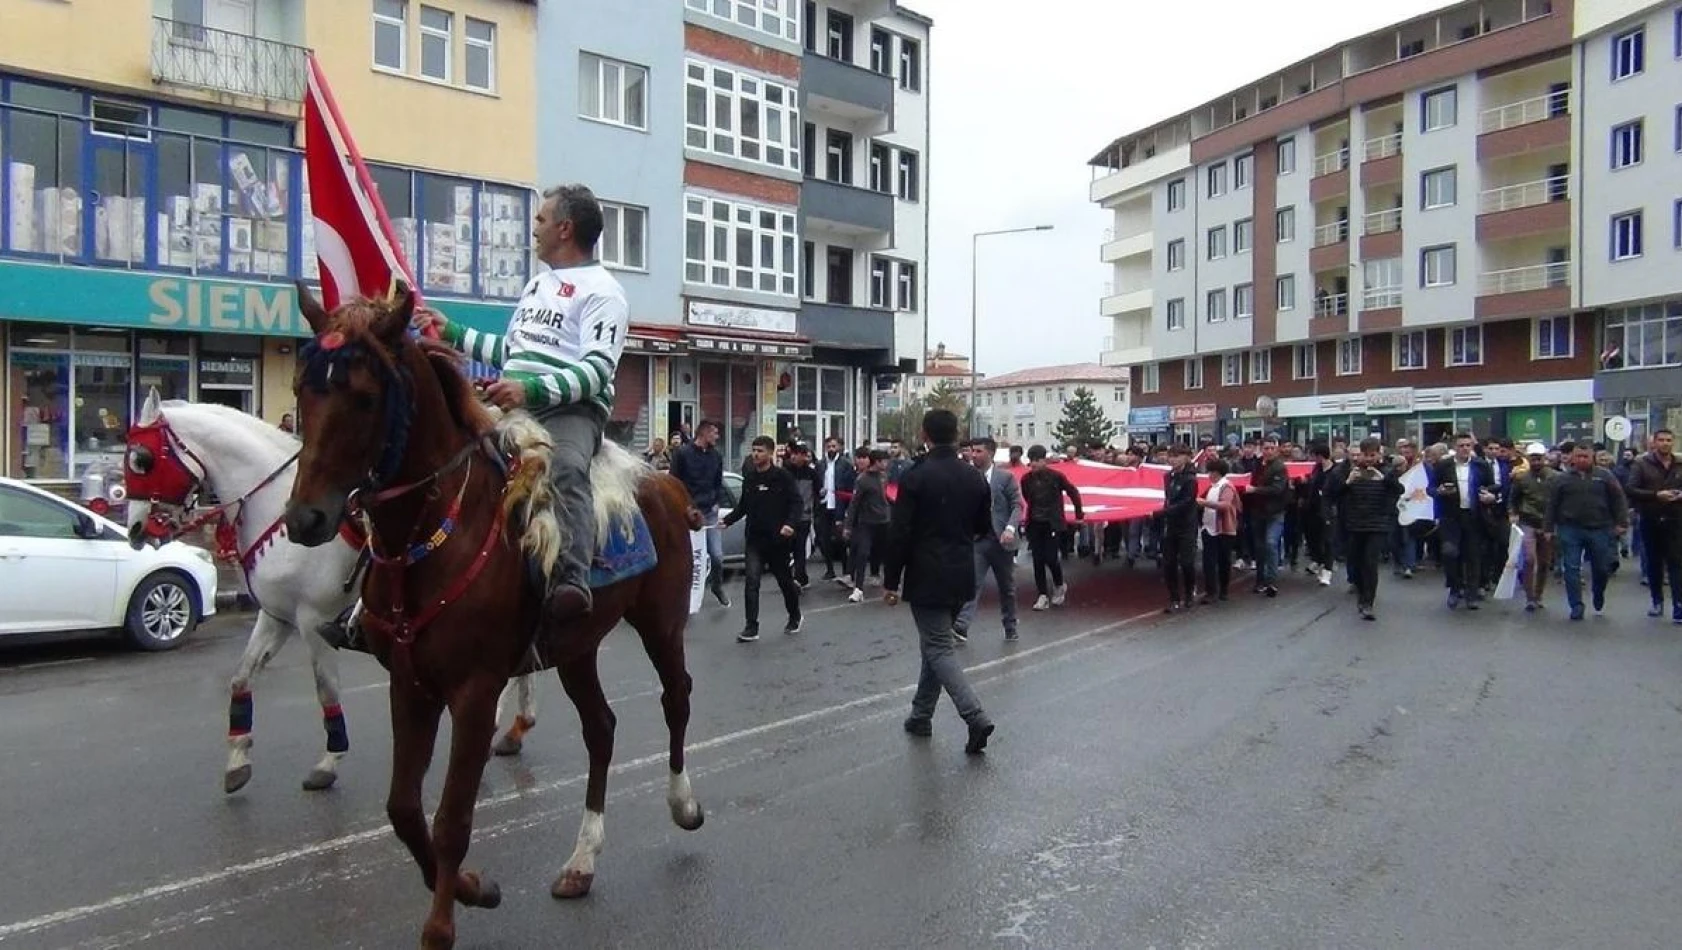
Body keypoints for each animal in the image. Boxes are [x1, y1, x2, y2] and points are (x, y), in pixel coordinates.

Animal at [285, 284, 706, 948]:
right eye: (304, 388)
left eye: (365, 396)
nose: (306, 519)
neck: (431, 536)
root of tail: (661, 480)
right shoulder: (409, 683)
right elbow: (404, 809)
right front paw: (469, 886)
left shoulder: (475, 691)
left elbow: (452, 816)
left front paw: (442, 922)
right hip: (576, 647)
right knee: (602, 728)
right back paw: (582, 860)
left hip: (660, 625)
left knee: (676, 699)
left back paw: (682, 803)